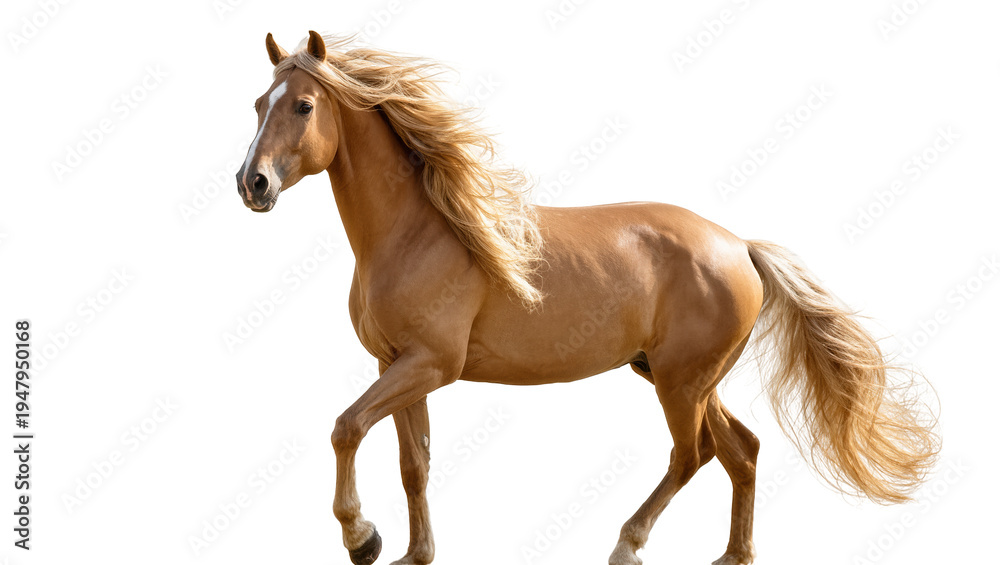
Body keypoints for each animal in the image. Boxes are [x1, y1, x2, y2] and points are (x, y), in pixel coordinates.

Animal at [235, 31, 940, 565]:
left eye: (302, 106)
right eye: (258, 103)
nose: (252, 183)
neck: (419, 231)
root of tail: (739, 246)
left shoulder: (431, 363)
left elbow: (346, 427)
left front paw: (361, 537)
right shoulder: (397, 365)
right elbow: (415, 464)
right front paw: (411, 553)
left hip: (680, 384)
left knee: (695, 455)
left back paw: (628, 546)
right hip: (687, 378)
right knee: (741, 453)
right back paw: (731, 557)